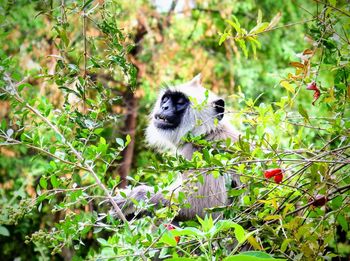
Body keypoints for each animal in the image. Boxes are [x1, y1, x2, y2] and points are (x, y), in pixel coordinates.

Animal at [113, 74, 239, 220]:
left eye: (180, 102)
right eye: (166, 99)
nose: (165, 107)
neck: (207, 132)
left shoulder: (202, 154)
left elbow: (202, 208)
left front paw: (133, 196)